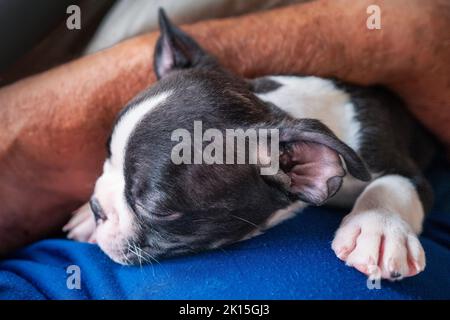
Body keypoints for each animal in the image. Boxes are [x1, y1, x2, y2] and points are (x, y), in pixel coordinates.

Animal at [65, 9, 434, 280]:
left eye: (156, 209)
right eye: (107, 155)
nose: (98, 209)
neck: (282, 107)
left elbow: (393, 184)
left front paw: (379, 229)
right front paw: (85, 213)